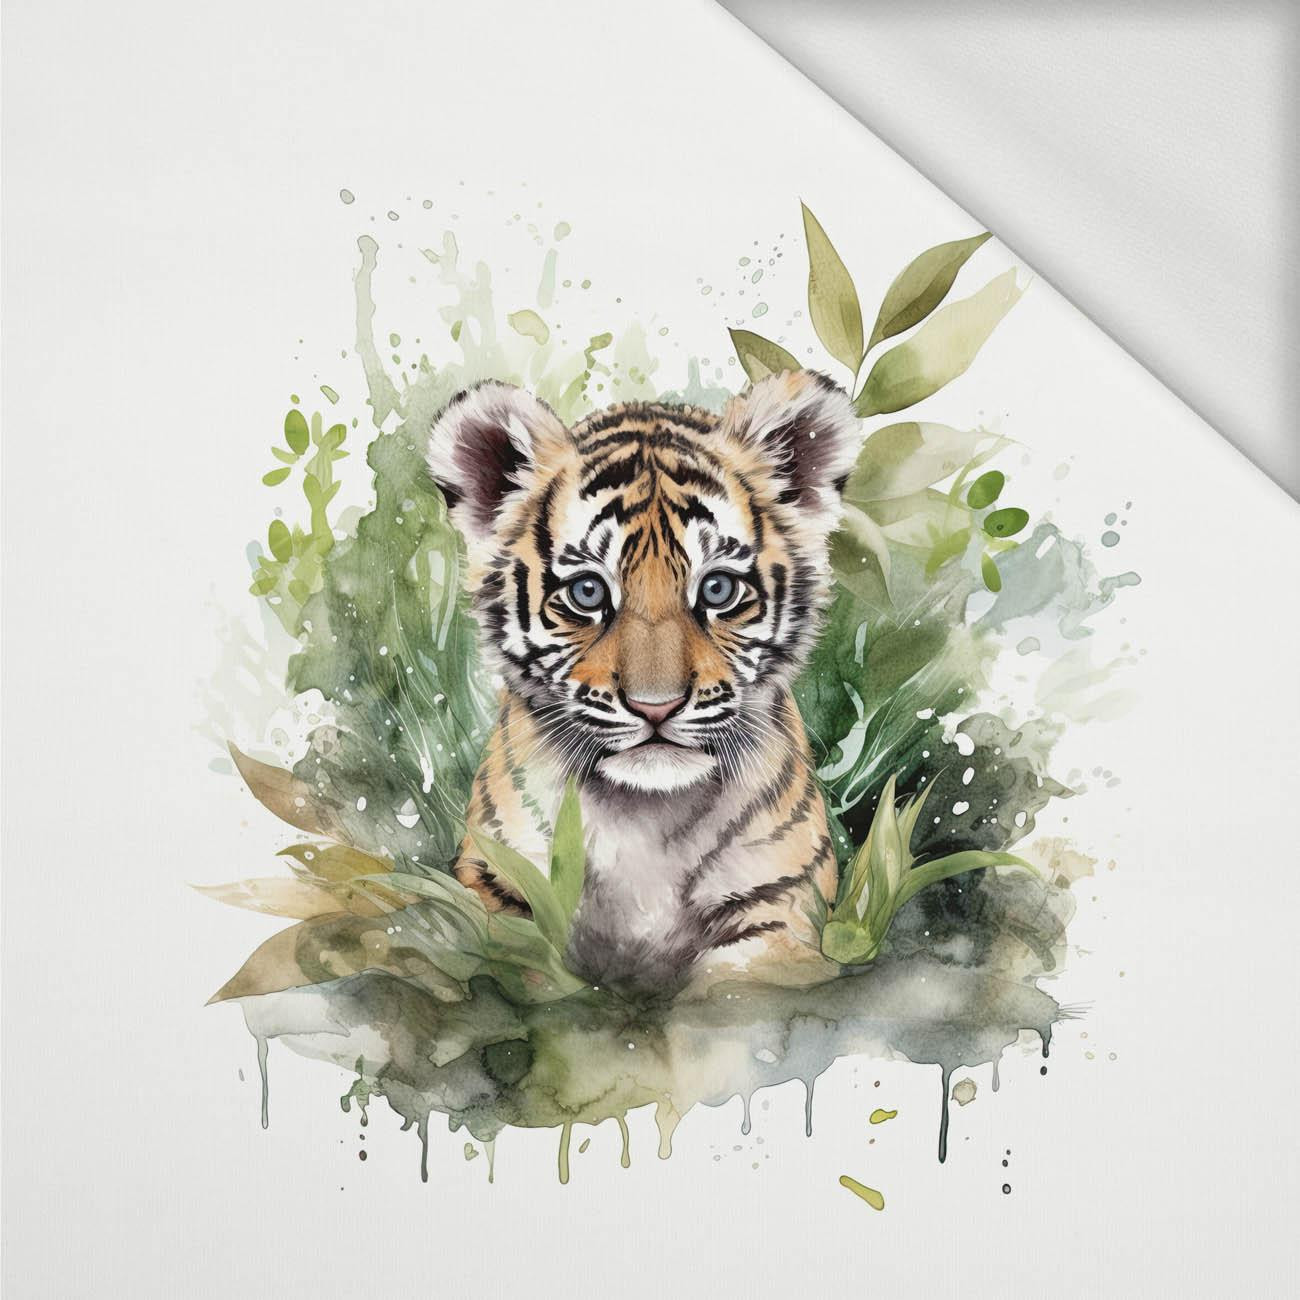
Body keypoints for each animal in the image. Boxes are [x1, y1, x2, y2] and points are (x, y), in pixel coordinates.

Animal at [426, 368, 861, 996]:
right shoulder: (498, 885)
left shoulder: (779, 907)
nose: (656, 707)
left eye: (718, 589)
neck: (646, 818)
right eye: (587, 592)